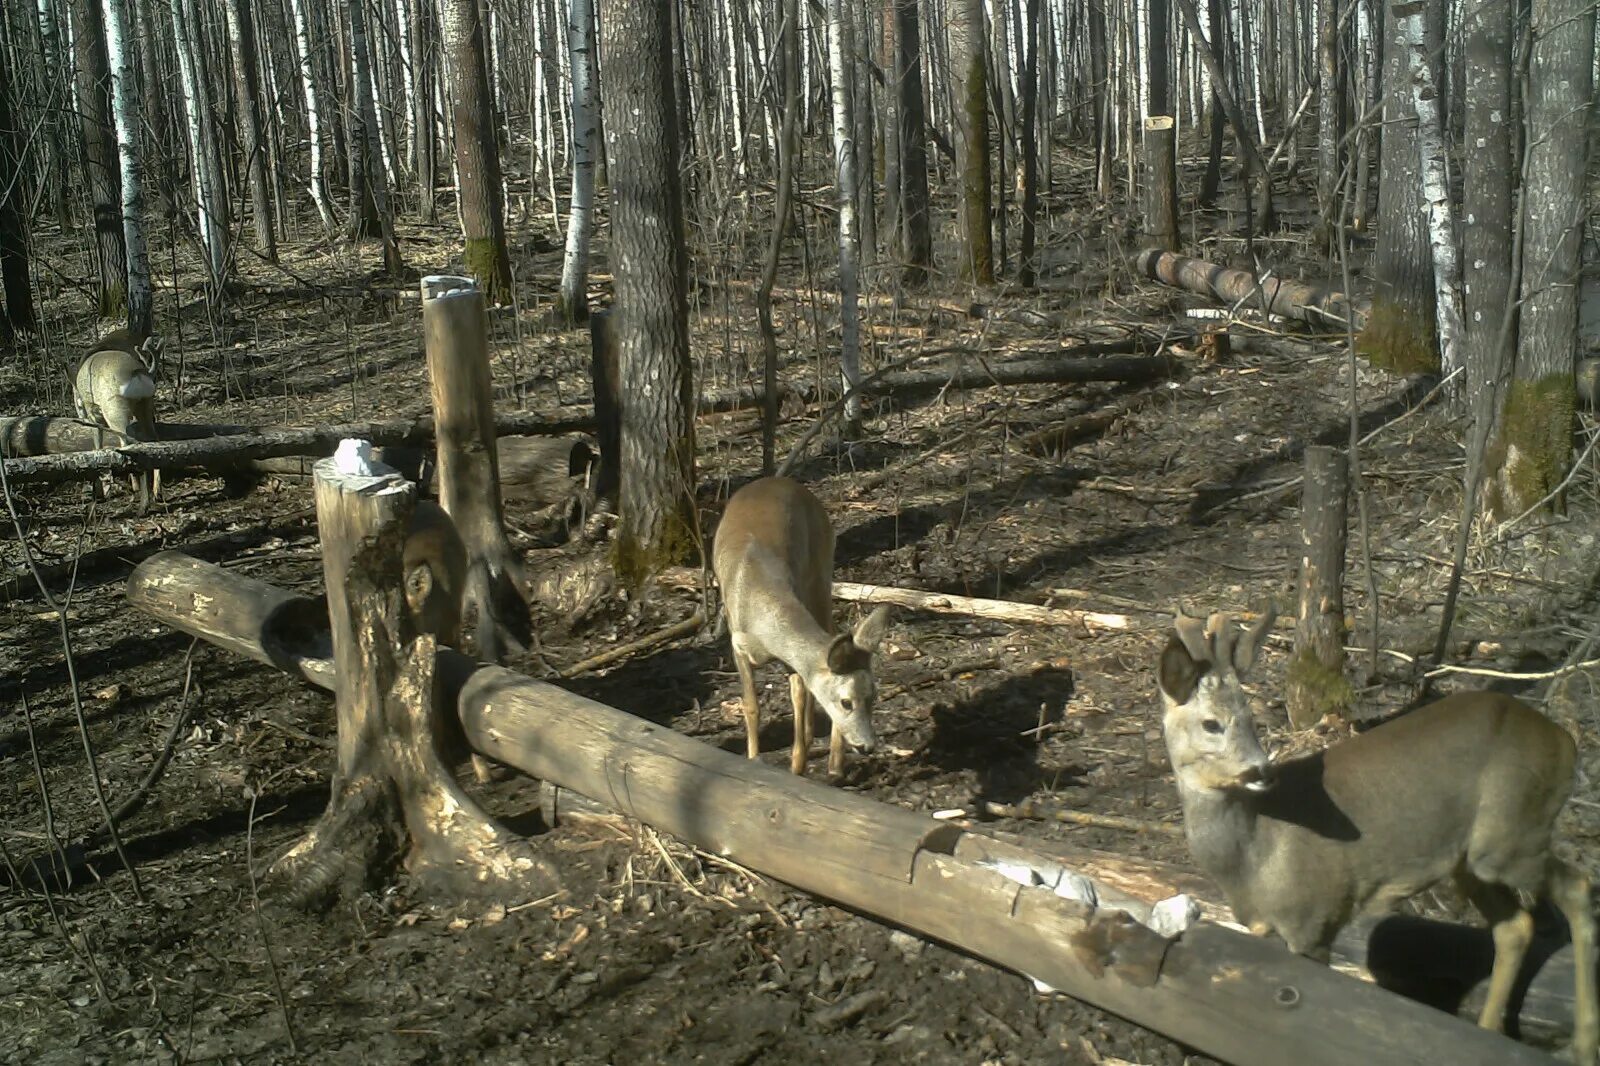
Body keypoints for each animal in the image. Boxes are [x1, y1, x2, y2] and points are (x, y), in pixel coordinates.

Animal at [72, 326, 163, 508]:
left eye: (78, 405)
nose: (79, 414)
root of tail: (138, 373)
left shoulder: (93, 413)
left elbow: (97, 446)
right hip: (145, 405)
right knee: (154, 440)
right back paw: (156, 492)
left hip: (114, 410)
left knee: (128, 444)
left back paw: (139, 495)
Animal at [716, 480, 896, 771]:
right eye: (846, 702)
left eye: (874, 696)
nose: (867, 746)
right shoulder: (736, 644)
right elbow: (751, 706)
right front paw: (753, 758)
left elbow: (799, 699)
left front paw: (797, 768)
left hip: (821, 571)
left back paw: (834, 762)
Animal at [1158, 605, 1593, 1062]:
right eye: (1211, 723)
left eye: (1249, 716)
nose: (1262, 770)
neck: (1256, 855)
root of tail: (1565, 741)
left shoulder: (1316, 918)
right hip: (1470, 858)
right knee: (1516, 926)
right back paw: (1491, 1033)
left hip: (1511, 837)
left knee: (1578, 885)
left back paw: (1583, 1043)